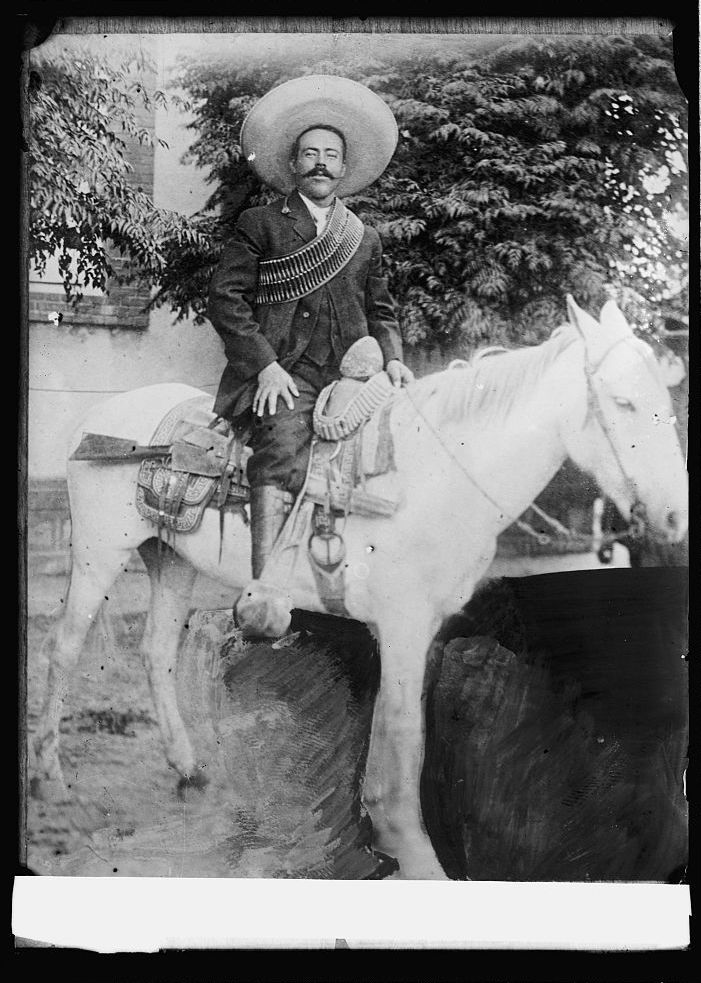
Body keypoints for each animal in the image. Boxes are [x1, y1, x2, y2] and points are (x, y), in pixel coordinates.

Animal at [30, 296, 688, 880]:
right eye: (624, 402)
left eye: (665, 400)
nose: (675, 516)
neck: (430, 475)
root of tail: (101, 419)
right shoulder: (402, 625)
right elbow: (403, 736)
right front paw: (414, 854)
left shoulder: (420, 632)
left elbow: (400, 729)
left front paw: (384, 834)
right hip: (99, 553)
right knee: (62, 650)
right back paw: (51, 780)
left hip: (171, 559)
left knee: (157, 653)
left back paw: (189, 771)